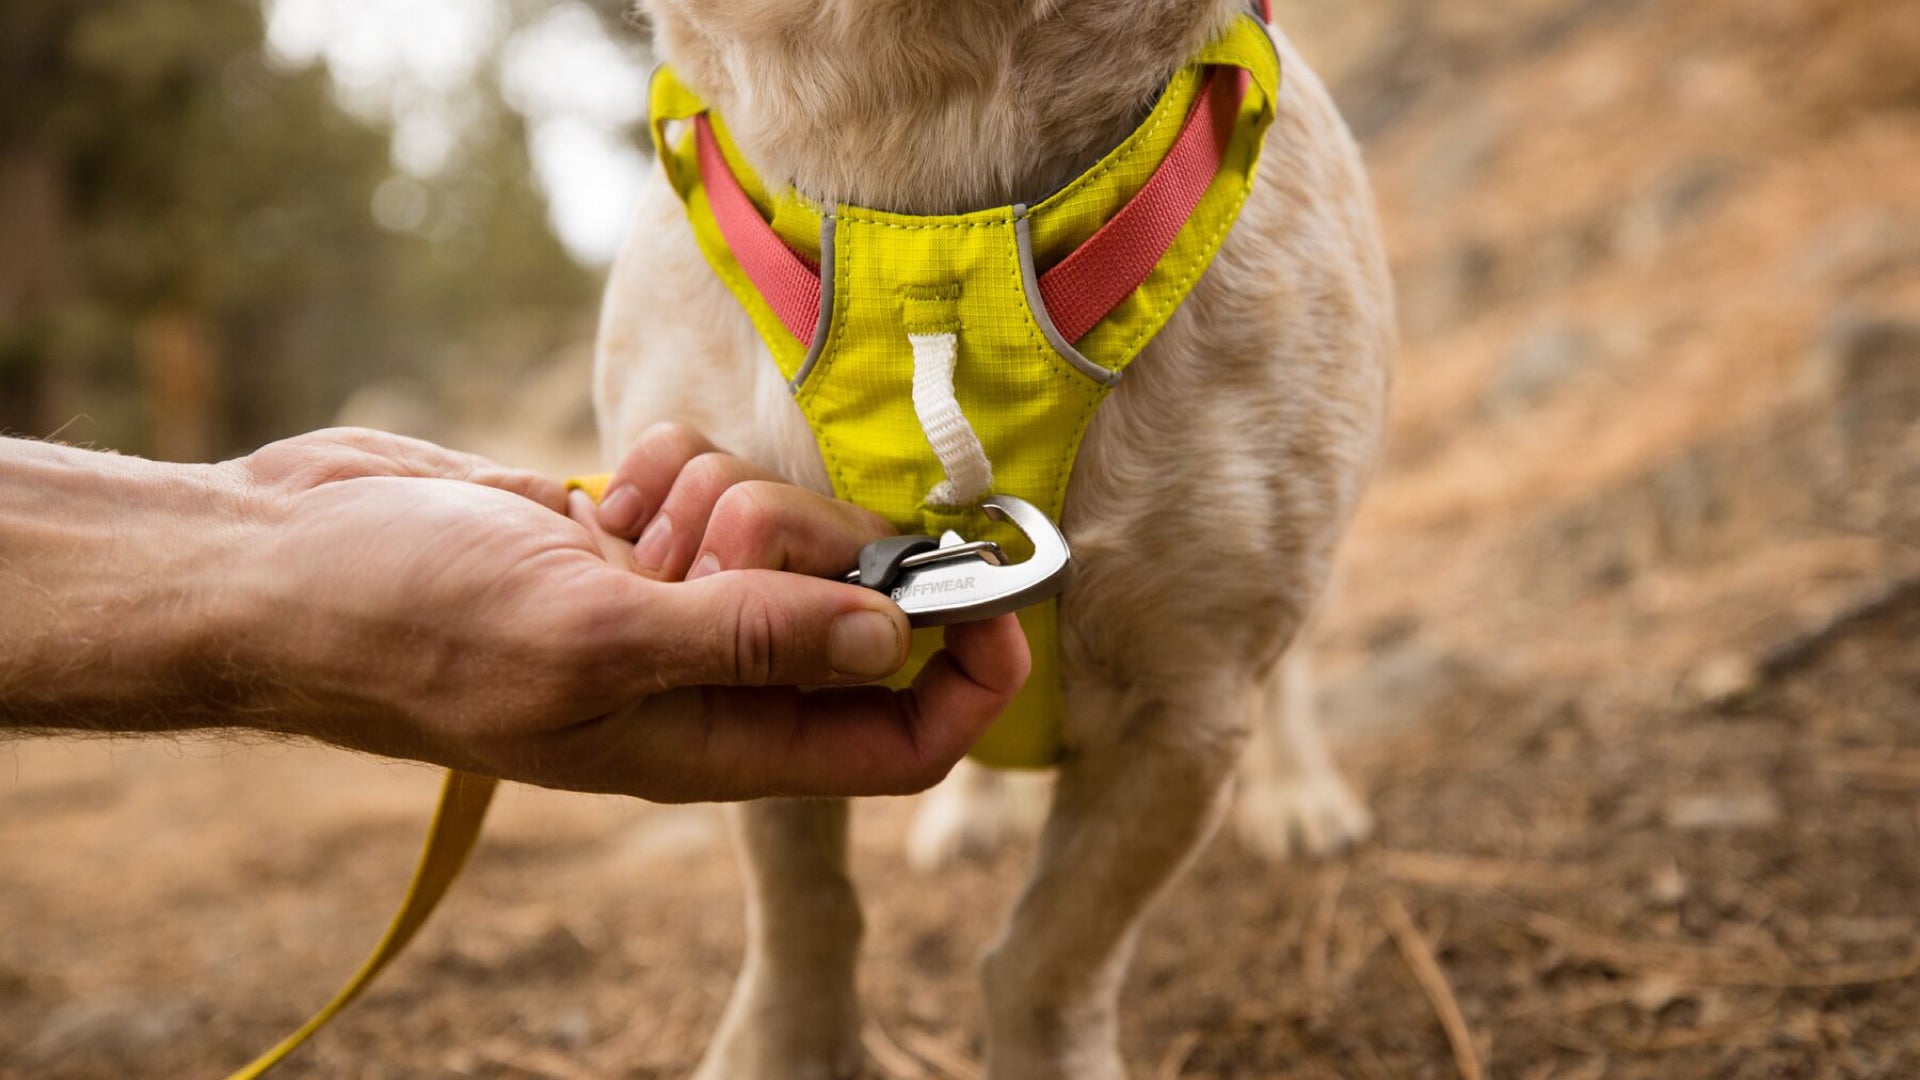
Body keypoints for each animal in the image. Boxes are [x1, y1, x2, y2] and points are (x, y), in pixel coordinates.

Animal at [591, 4, 1390, 1068]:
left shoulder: (1190, 707)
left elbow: (1053, 948)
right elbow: (799, 900)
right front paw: (783, 1050)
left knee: (1291, 667)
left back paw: (1300, 795)